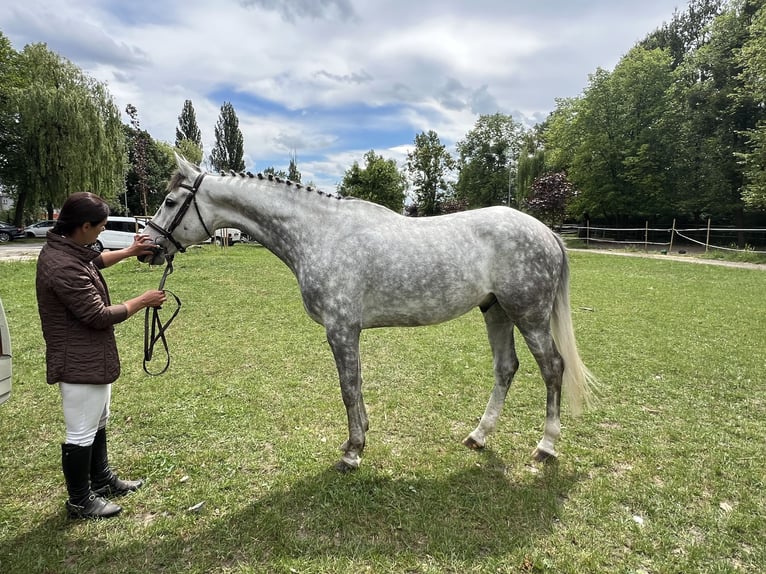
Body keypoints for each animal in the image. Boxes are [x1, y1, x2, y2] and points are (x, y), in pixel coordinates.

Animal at [144, 154, 600, 472]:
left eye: (169, 201)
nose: (147, 247)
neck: (320, 235)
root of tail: (546, 232)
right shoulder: (349, 331)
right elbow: (357, 386)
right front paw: (359, 438)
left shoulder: (341, 329)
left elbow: (348, 388)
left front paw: (352, 452)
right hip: (496, 311)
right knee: (506, 368)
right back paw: (478, 436)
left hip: (529, 315)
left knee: (552, 368)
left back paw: (545, 446)